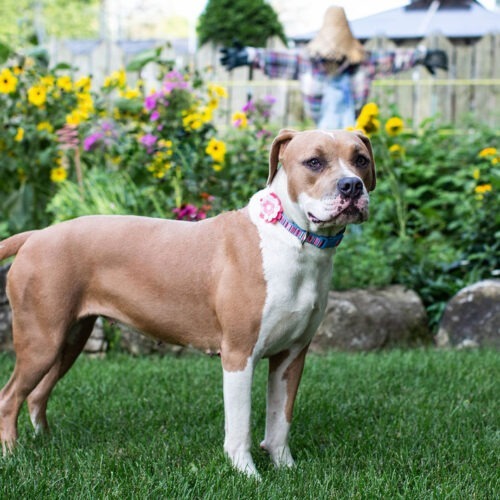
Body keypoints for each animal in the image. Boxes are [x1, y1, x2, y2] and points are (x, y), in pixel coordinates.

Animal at [0, 128, 376, 476]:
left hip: (69, 340)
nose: (351, 186)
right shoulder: (239, 355)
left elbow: (280, 420)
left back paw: (46, 441)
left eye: (360, 159)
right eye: (314, 162)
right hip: (41, 343)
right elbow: (240, 426)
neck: (292, 239)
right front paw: (247, 474)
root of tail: (37, 235)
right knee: (9, 397)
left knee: (36, 395)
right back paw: (12, 455)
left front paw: (286, 468)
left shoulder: (291, 357)